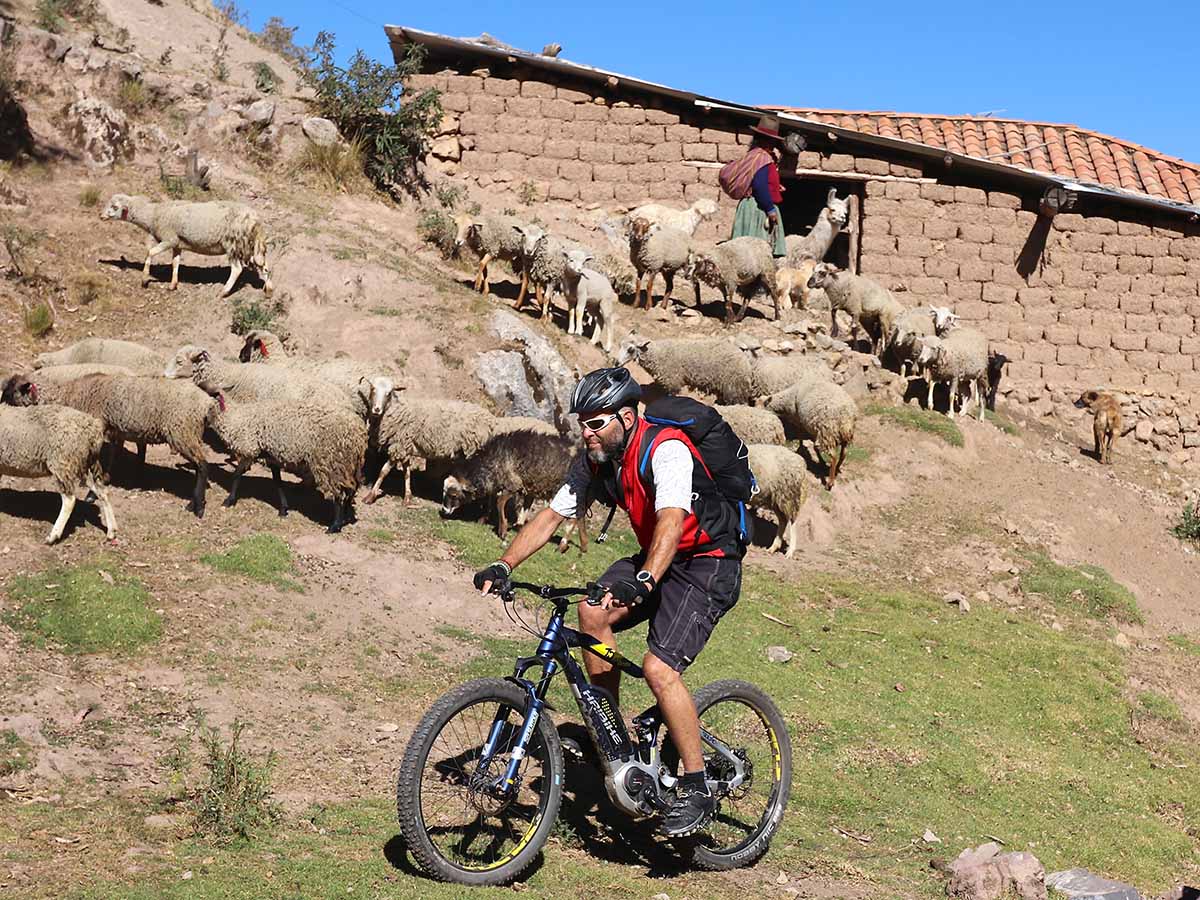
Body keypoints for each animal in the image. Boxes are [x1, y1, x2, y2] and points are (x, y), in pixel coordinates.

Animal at [0, 388, 116, 542]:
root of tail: (92, 428)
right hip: (84, 464)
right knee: (102, 491)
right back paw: (111, 531)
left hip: (63, 463)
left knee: (69, 500)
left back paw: (53, 535)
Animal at [100, 194, 274, 300]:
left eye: (114, 207)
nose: (101, 216)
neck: (154, 214)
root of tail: (256, 219)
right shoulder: (177, 244)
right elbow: (175, 263)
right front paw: (173, 285)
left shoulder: (169, 239)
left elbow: (150, 252)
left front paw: (144, 280)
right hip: (249, 245)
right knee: (264, 265)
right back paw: (269, 291)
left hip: (233, 243)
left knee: (237, 269)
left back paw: (223, 292)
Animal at [619, 336, 748, 405]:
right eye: (620, 345)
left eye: (630, 349)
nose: (617, 363)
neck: (658, 354)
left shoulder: (673, 382)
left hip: (733, 387)